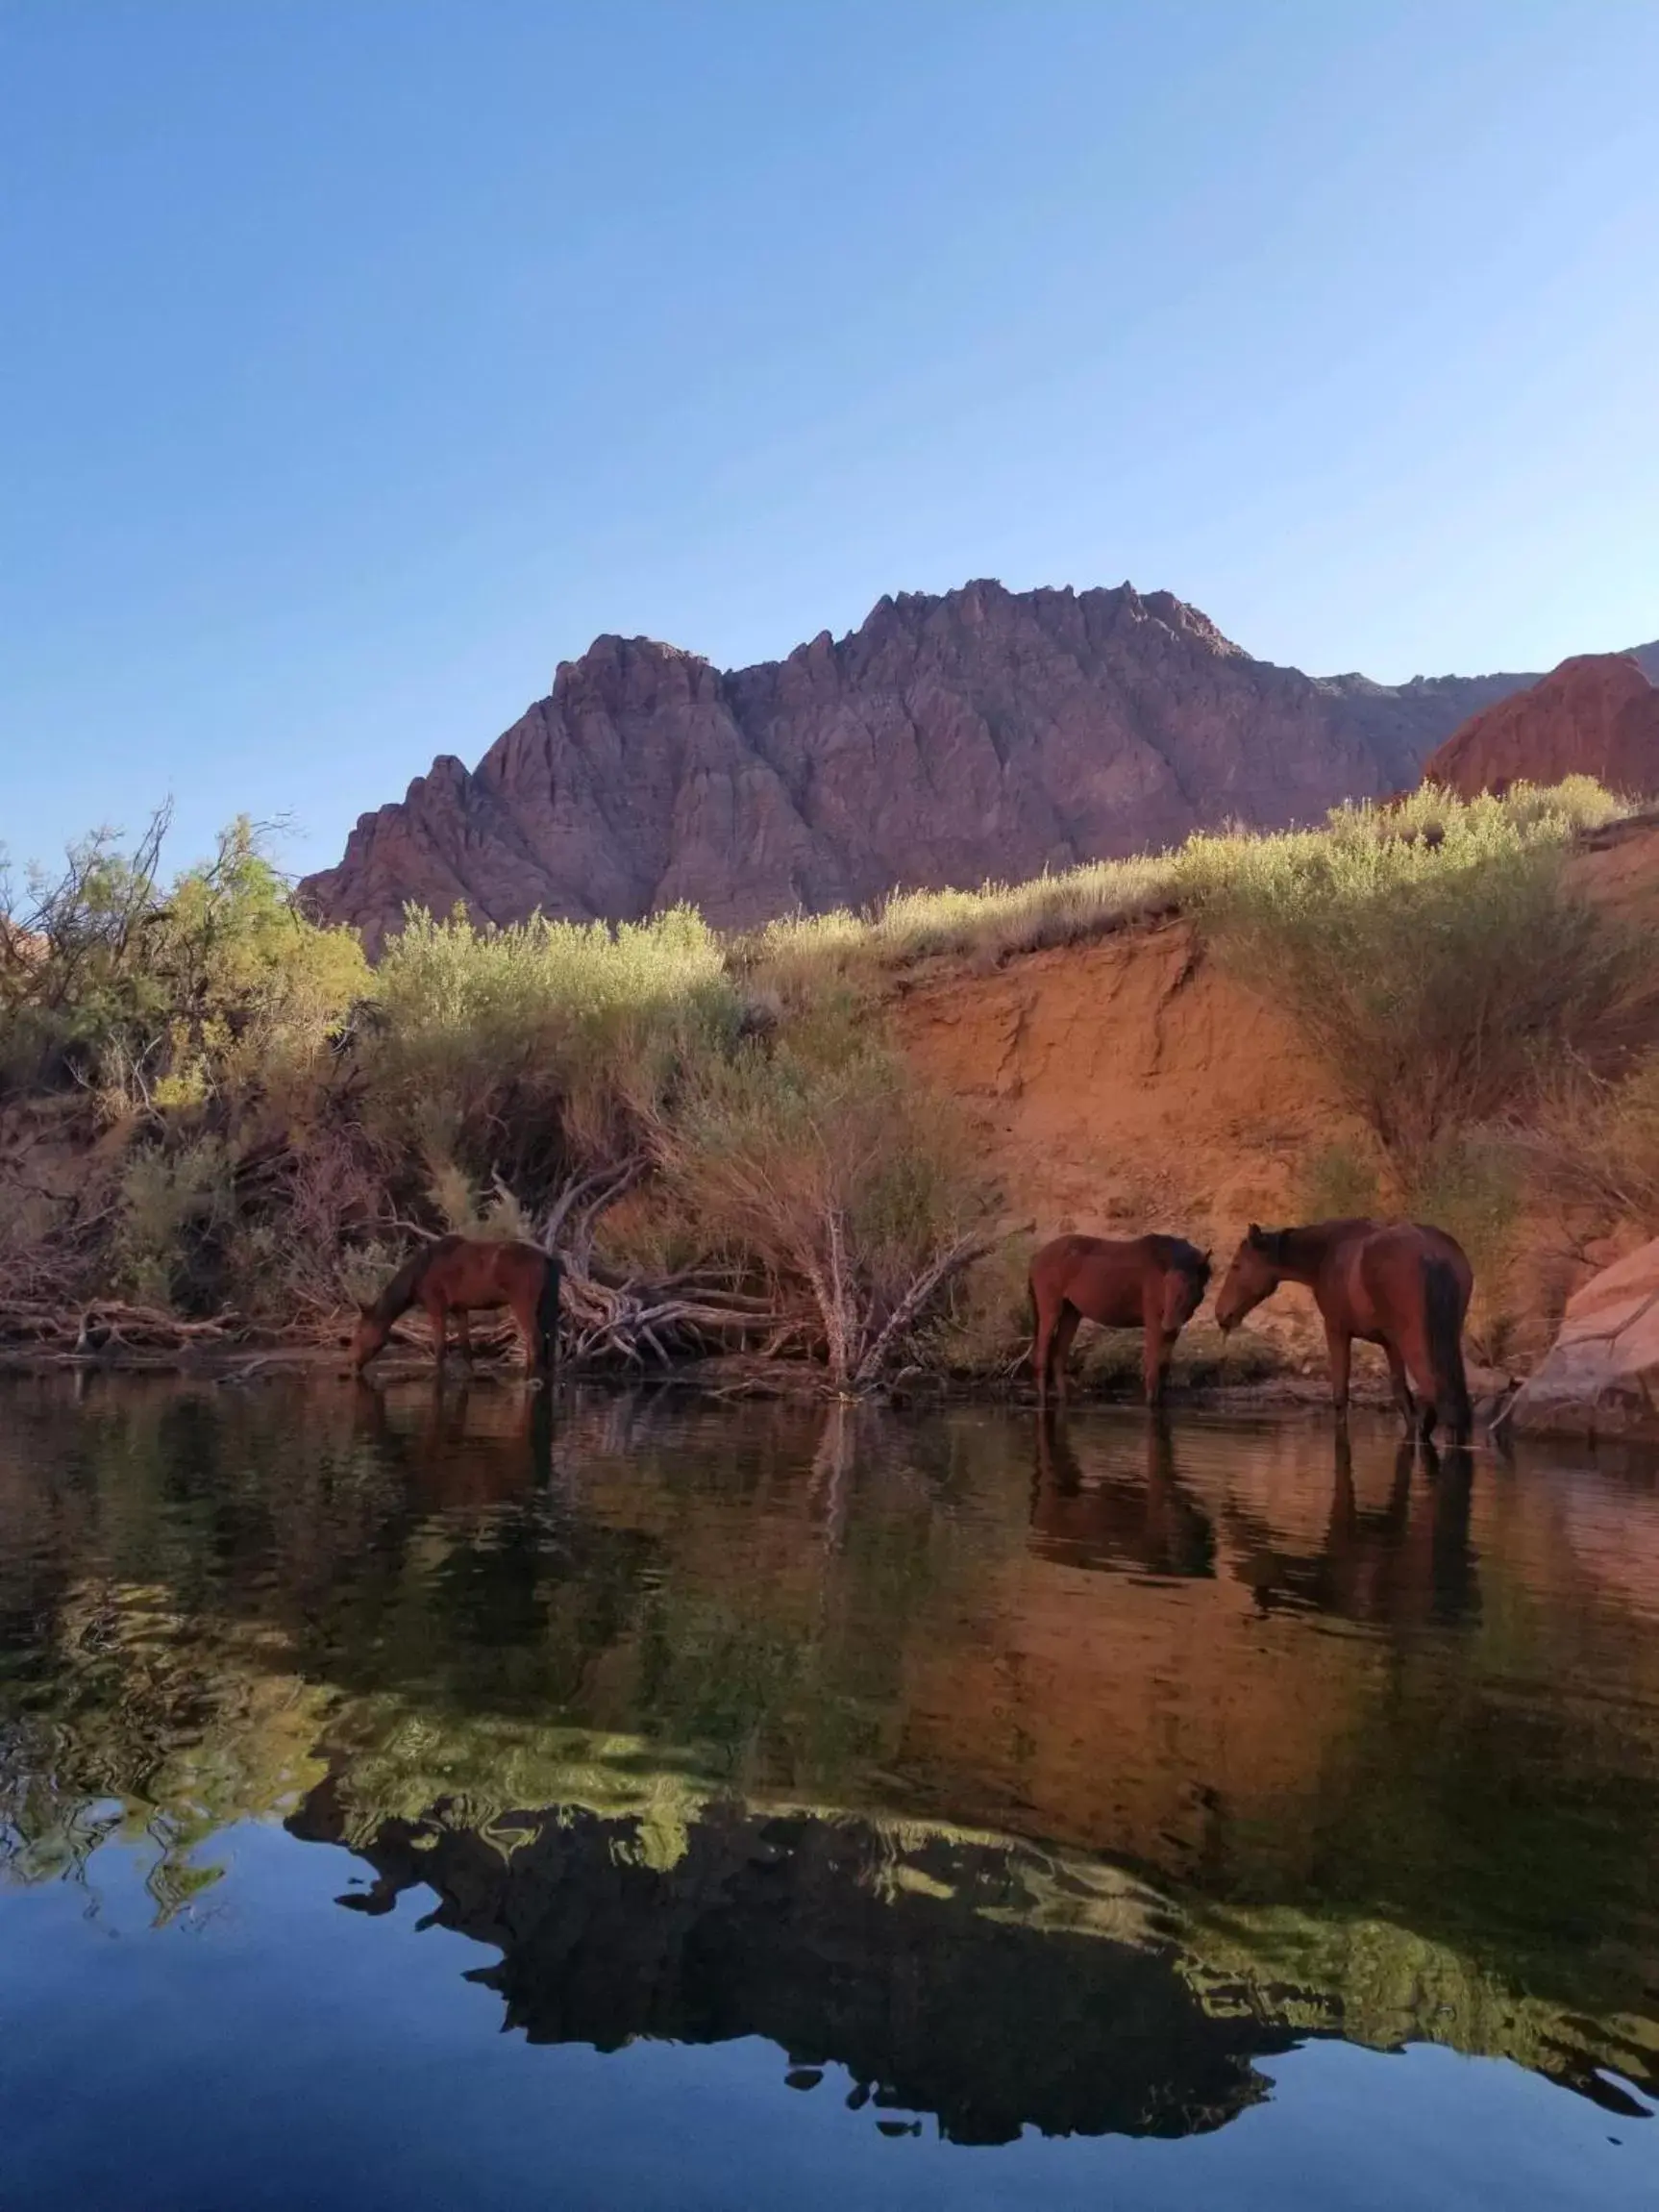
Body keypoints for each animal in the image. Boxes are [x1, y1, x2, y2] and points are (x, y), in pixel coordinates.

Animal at [351, 1238, 566, 1371]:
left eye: (360, 1330)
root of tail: (548, 1260)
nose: (353, 1362)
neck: (413, 1283)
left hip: (523, 1303)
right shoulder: (460, 1309)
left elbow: (440, 1349)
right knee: (550, 1342)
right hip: (548, 1303)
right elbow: (466, 1347)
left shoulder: (436, 1307)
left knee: (535, 1340)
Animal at [1035, 1238, 1212, 1406]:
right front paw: (1150, 1403)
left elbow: (1163, 1368)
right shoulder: (1154, 1323)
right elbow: (1152, 1368)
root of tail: (1036, 1258)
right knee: (1042, 1351)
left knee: (1059, 1354)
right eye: (1166, 1283)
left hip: (1071, 1312)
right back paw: (1042, 1399)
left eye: (1191, 1284)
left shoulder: (1171, 1330)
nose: (1168, 1323)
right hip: (1050, 1309)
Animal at [1212, 1221, 1477, 1442]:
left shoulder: (1337, 1331)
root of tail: (1431, 1253)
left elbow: (1340, 1396)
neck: (1326, 1254)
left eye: (1236, 1266)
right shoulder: (1391, 1345)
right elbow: (1402, 1398)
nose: (1221, 1314)